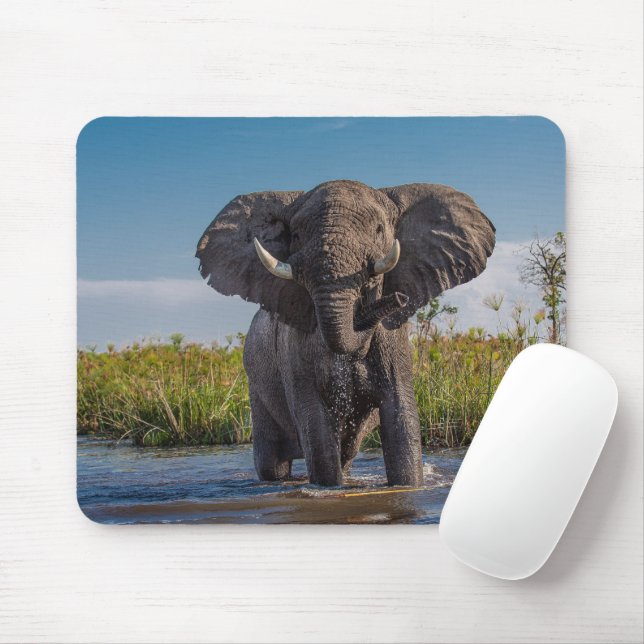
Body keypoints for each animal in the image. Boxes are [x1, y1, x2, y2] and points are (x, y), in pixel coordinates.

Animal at [196, 180, 495, 487]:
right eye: (296, 235)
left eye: (379, 229)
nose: (399, 298)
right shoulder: (295, 349)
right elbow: (315, 424)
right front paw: (328, 489)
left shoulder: (394, 344)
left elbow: (401, 418)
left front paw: (408, 485)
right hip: (256, 383)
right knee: (273, 464)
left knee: (346, 455)